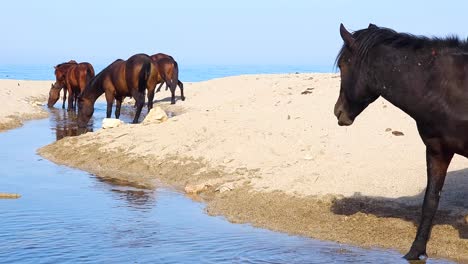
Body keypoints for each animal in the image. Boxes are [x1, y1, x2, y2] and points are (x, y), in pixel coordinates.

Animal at [332, 23, 468, 260]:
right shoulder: (437, 151)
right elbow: (430, 201)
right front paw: (415, 251)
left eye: (342, 64)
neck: (449, 89)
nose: (338, 111)